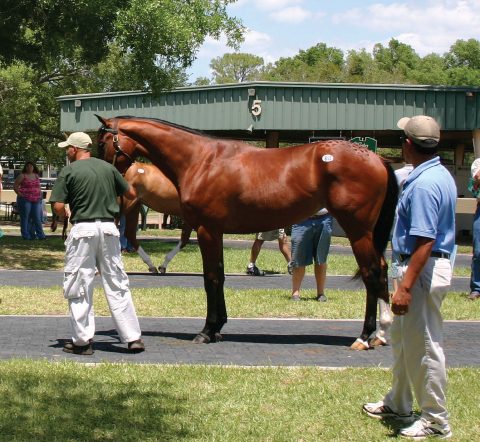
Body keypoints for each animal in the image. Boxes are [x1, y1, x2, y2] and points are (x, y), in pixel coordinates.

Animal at [96, 115, 398, 350]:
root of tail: (375, 158)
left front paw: (207, 331)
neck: (201, 160)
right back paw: (380, 333)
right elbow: (219, 277)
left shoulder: (207, 230)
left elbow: (211, 278)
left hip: (358, 231)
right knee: (381, 271)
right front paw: (218, 327)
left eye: (102, 142)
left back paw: (366, 336)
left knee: (372, 274)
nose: (104, 173)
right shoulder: (214, 232)